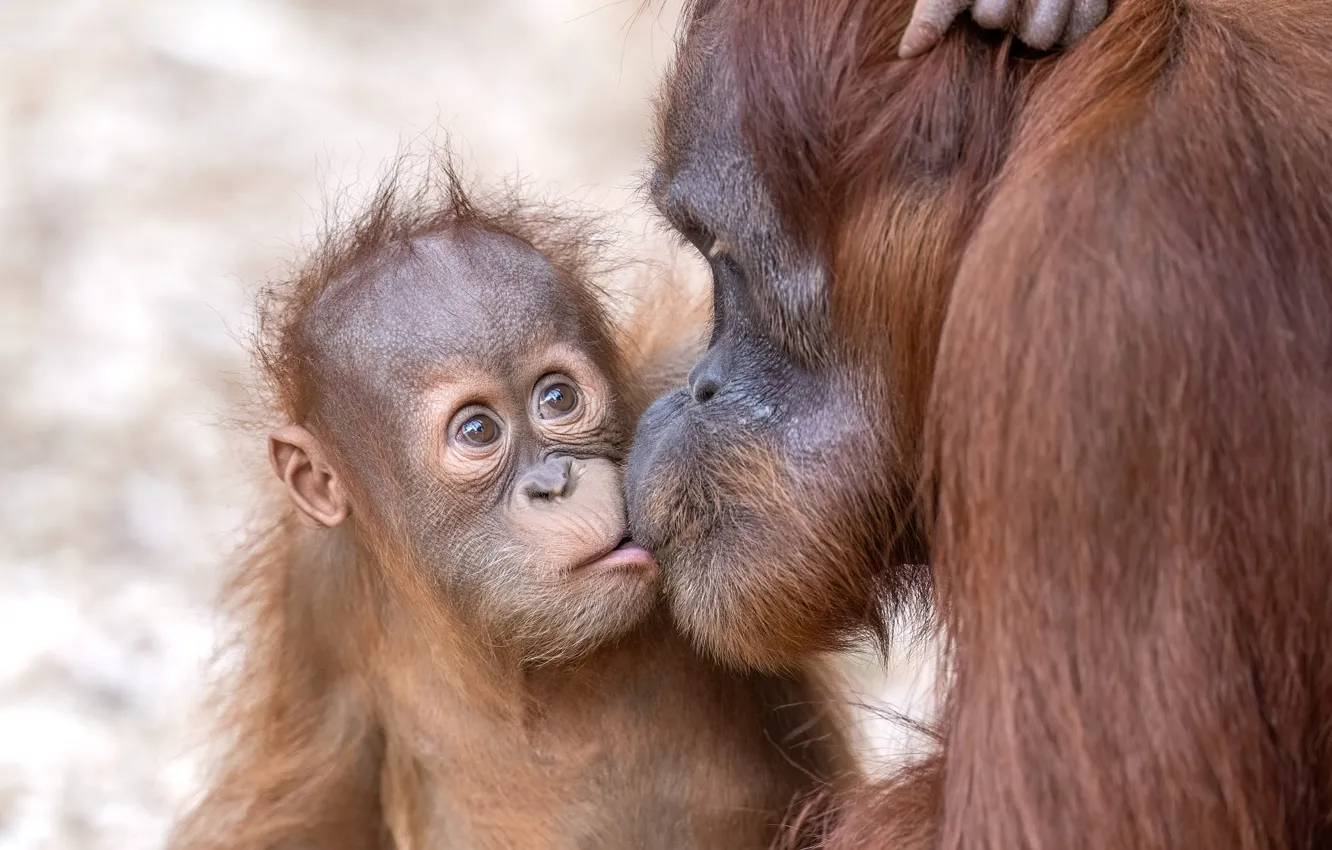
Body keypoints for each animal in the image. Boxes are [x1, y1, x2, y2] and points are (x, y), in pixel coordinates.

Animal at [168, 156, 853, 850]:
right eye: (478, 431)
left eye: (557, 398)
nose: (555, 483)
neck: (536, 665)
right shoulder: (317, 593)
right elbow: (317, 807)